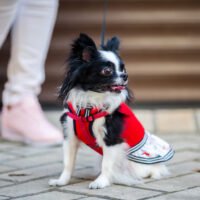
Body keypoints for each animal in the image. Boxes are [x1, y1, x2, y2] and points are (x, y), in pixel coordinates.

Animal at [48, 33, 173, 188]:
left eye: (124, 70)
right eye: (107, 71)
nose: (125, 76)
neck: (90, 105)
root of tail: (159, 166)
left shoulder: (111, 139)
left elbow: (107, 165)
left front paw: (101, 182)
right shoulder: (70, 136)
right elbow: (68, 163)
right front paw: (62, 181)